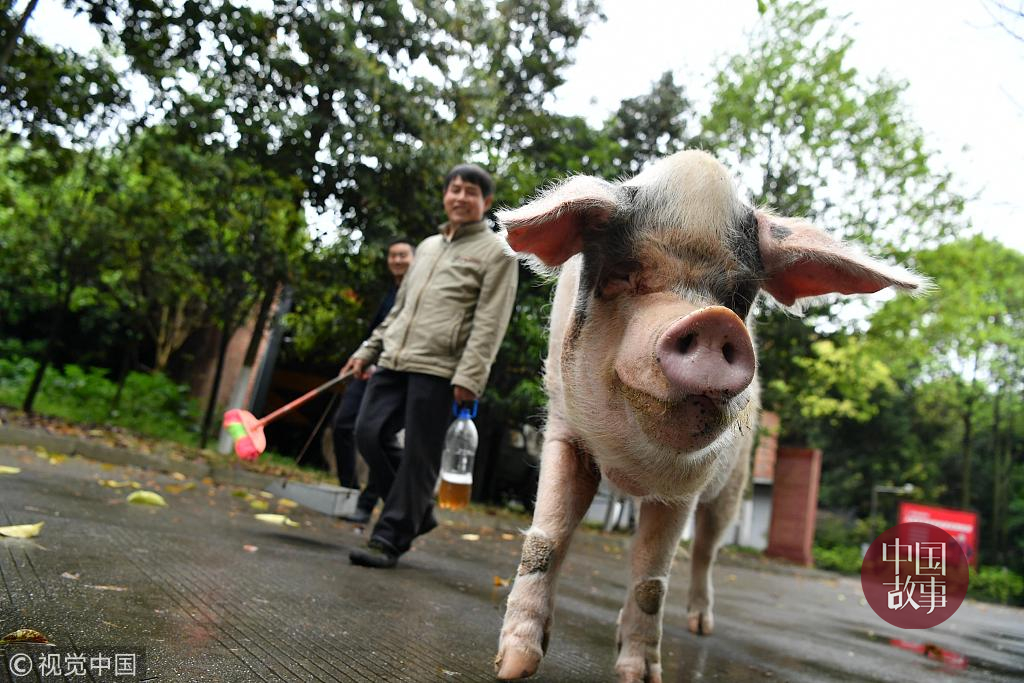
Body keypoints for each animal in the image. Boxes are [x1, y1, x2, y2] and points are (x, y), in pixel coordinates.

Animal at [489, 150, 929, 683]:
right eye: (624, 272)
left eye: (739, 297)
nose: (714, 321)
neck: (630, 464)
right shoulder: (564, 431)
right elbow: (547, 539)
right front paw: (513, 666)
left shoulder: (687, 484)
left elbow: (652, 579)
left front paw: (640, 676)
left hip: (732, 488)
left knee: (703, 551)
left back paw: (701, 627)